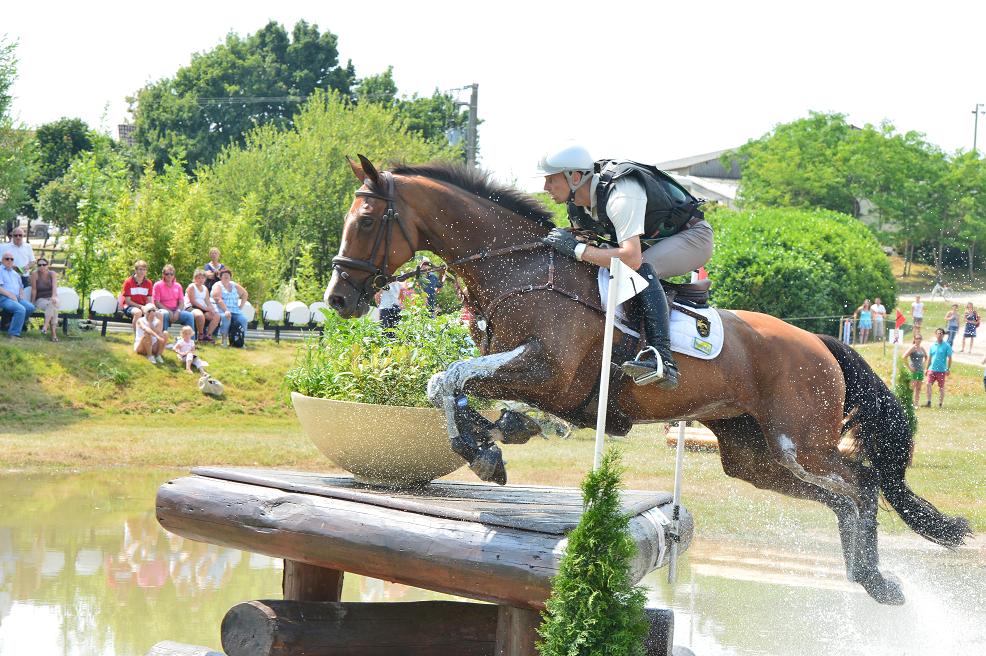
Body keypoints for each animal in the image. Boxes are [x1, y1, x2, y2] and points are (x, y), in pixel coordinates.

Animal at [324, 155, 968, 604]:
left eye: (367, 220)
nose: (337, 299)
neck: (518, 269)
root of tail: (820, 342)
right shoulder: (520, 369)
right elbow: (452, 384)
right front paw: (495, 438)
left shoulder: (547, 371)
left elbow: (449, 377)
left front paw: (486, 447)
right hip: (755, 455)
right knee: (843, 496)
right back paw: (863, 575)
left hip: (799, 442)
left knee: (862, 481)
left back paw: (876, 580)